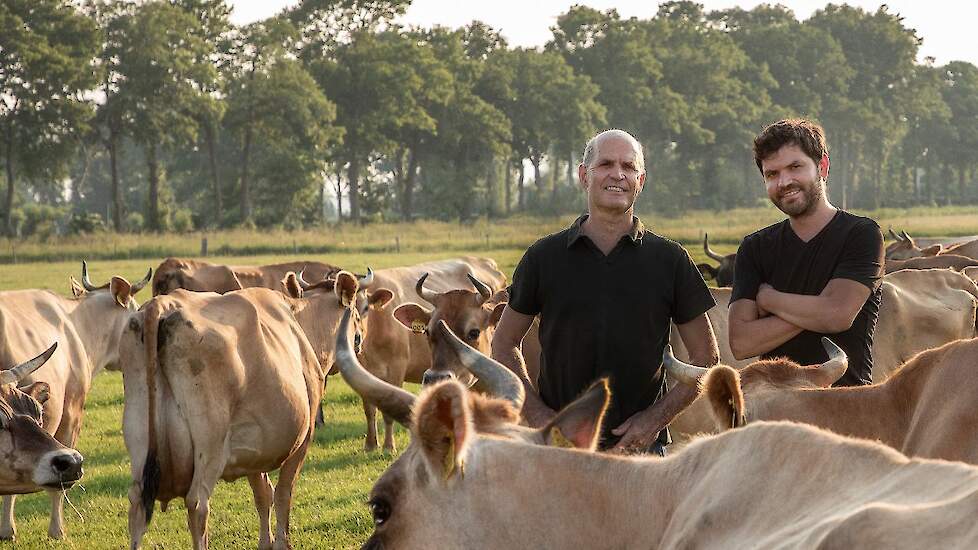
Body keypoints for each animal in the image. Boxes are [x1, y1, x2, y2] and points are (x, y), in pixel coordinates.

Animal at [123, 272, 382, 550]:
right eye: (357, 311)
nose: (361, 340)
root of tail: (161, 306)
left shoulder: (254, 446)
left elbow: (263, 494)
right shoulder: (303, 436)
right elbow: (283, 494)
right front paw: (282, 543)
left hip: (140, 443)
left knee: (137, 503)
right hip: (209, 445)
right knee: (197, 504)